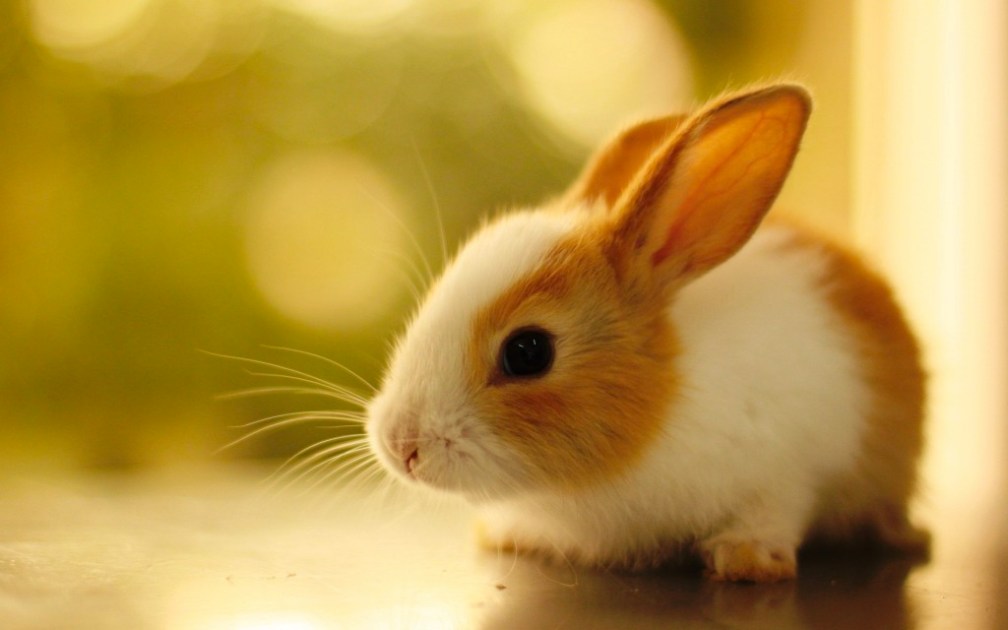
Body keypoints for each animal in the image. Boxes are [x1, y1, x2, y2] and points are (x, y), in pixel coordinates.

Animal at [365, 84, 929, 582]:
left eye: (527, 352)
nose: (401, 445)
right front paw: (506, 534)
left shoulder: (787, 472)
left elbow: (772, 513)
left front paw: (746, 560)